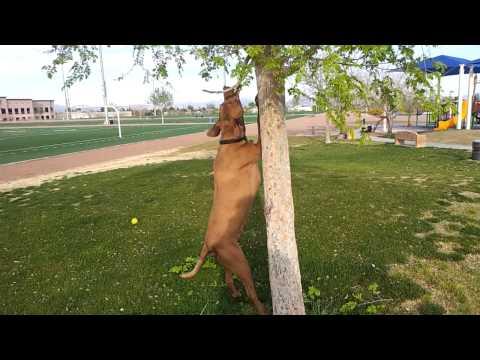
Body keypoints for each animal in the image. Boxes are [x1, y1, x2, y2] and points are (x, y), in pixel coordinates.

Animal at [180, 86, 266, 314]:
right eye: (228, 102)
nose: (227, 88)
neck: (229, 140)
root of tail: (208, 244)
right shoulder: (258, 149)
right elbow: (260, 125)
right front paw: (258, 101)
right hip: (241, 262)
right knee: (251, 293)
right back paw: (262, 307)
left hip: (229, 261)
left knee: (228, 281)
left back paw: (235, 293)